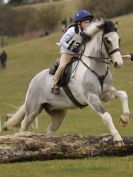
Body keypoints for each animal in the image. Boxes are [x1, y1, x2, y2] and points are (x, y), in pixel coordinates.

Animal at [3, 19, 130, 147]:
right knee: (24, 124)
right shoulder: (91, 97)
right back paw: (22, 138)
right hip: (33, 110)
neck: (94, 67)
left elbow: (123, 94)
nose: (118, 63)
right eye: (107, 40)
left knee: (49, 131)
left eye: (119, 39)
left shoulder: (105, 93)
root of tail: (34, 79)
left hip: (58, 112)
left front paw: (124, 119)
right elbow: (106, 116)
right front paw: (117, 139)